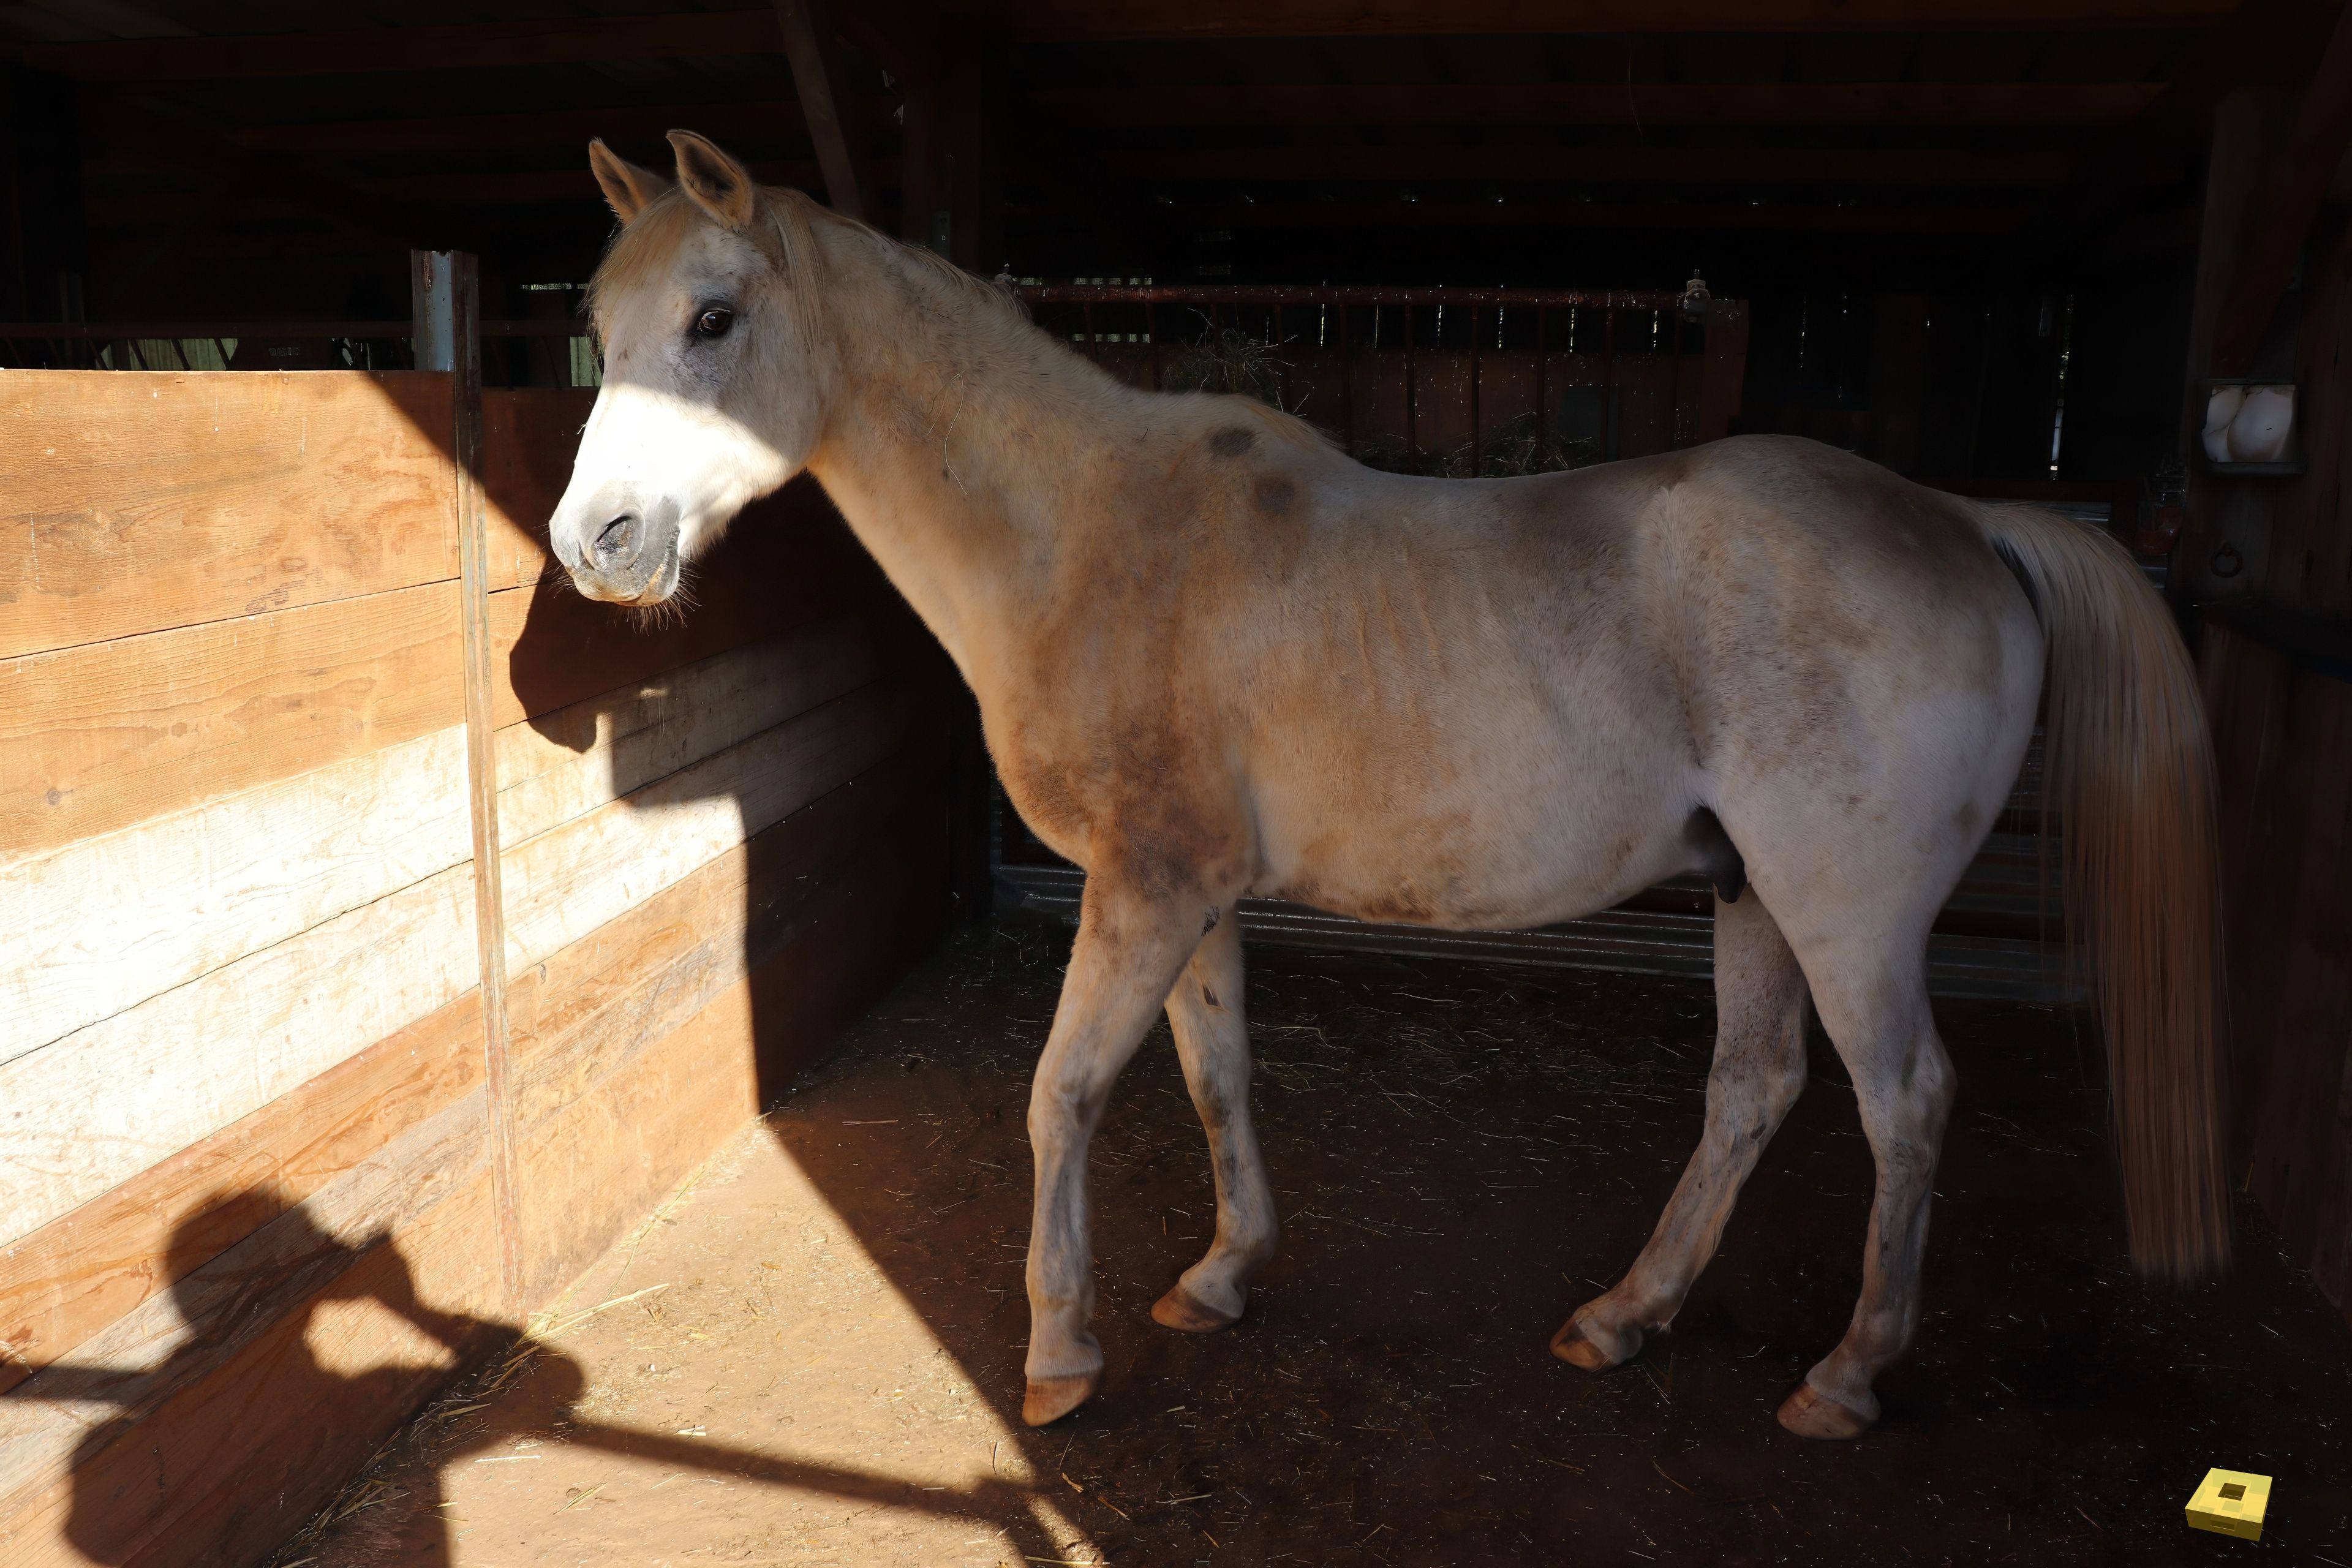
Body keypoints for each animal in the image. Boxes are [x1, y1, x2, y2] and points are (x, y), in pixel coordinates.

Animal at [547, 130, 2229, 1440]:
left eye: (713, 317)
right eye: (601, 323)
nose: (593, 543)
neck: (1087, 536)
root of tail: (1960, 519)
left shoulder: (1144, 890)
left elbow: (1061, 1093)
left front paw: (1058, 1349)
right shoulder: (1194, 898)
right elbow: (1215, 1077)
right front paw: (1221, 1277)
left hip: (1847, 916)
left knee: (1906, 1104)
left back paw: (1845, 1375)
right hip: (1752, 895)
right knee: (1752, 1091)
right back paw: (1623, 1313)